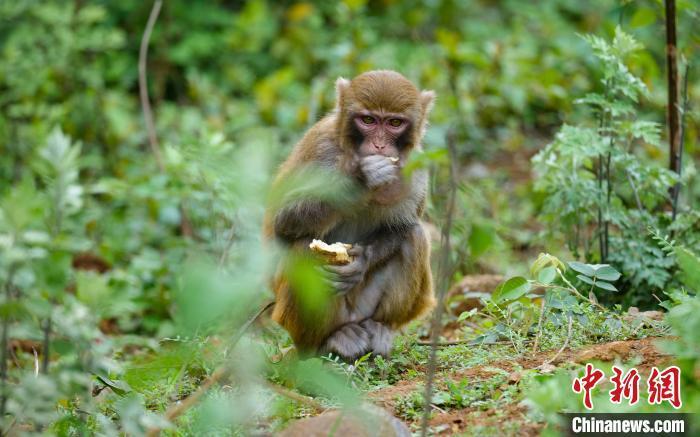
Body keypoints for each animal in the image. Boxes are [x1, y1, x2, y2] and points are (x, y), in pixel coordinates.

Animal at [266, 70, 434, 360]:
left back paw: (379, 328)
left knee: (414, 237)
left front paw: (361, 261)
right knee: (302, 250)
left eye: (394, 122)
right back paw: (331, 340)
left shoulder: (417, 166)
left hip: (367, 309)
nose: (379, 145)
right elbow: (283, 221)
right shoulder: (322, 150)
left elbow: (402, 227)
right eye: (368, 120)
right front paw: (361, 181)